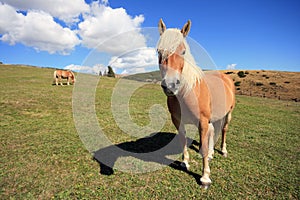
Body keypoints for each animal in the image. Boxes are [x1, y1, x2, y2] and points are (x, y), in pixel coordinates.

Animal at [157, 18, 234, 188]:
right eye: (159, 52)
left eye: (183, 51)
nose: (170, 85)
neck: (188, 92)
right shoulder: (178, 120)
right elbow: (183, 140)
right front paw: (185, 162)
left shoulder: (203, 122)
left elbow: (203, 147)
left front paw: (205, 178)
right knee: (214, 131)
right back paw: (212, 153)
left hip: (228, 114)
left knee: (224, 130)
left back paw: (223, 151)